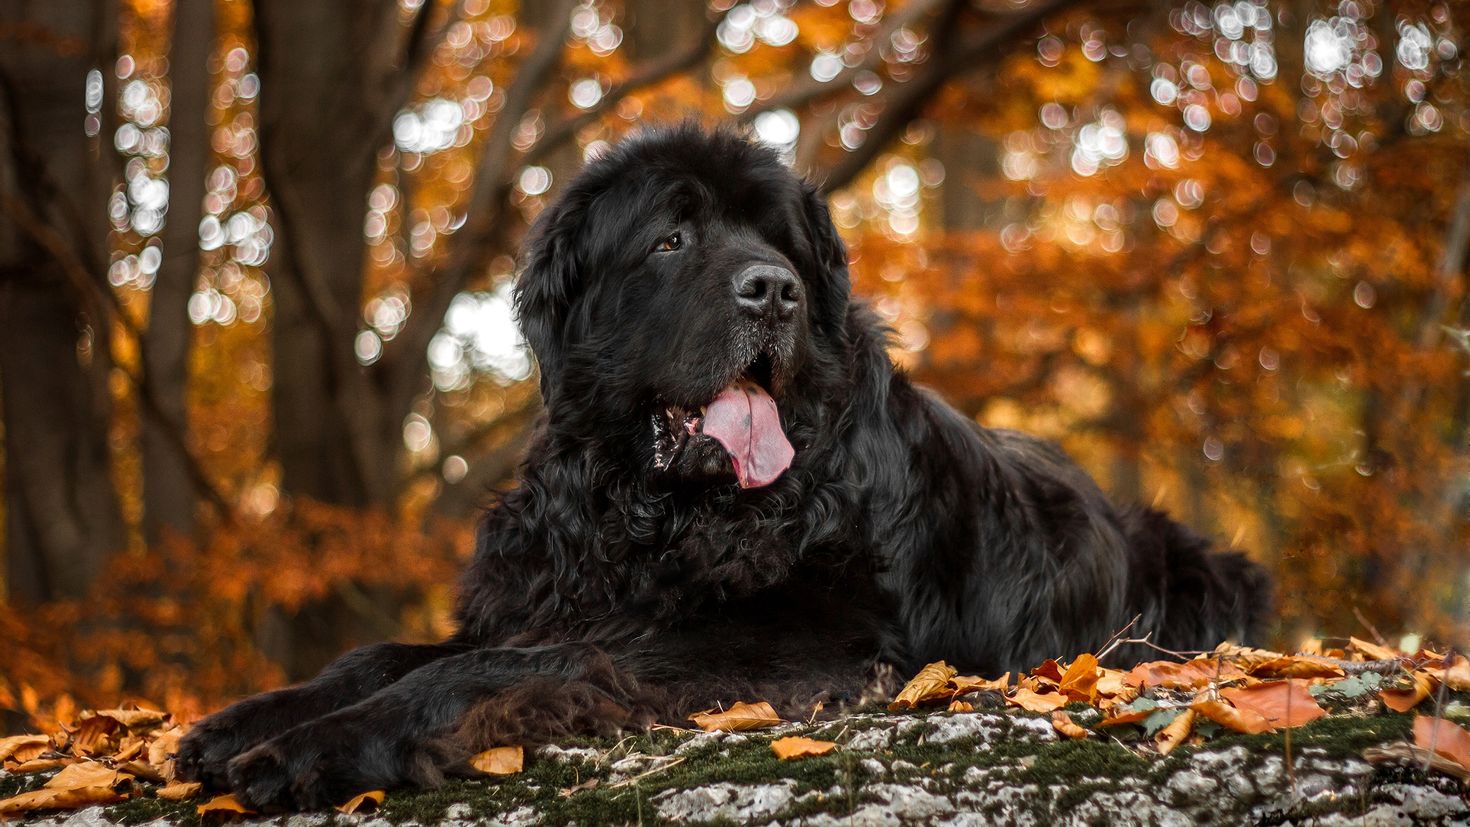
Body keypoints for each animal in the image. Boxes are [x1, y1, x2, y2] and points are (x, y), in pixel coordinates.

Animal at [174, 122, 1275, 810]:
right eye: (670, 237)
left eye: (779, 242)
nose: (773, 290)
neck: (648, 509)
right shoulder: (546, 590)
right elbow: (387, 652)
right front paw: (241, 722)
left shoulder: (793, 640)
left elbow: (511, 662)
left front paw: (312, 747)